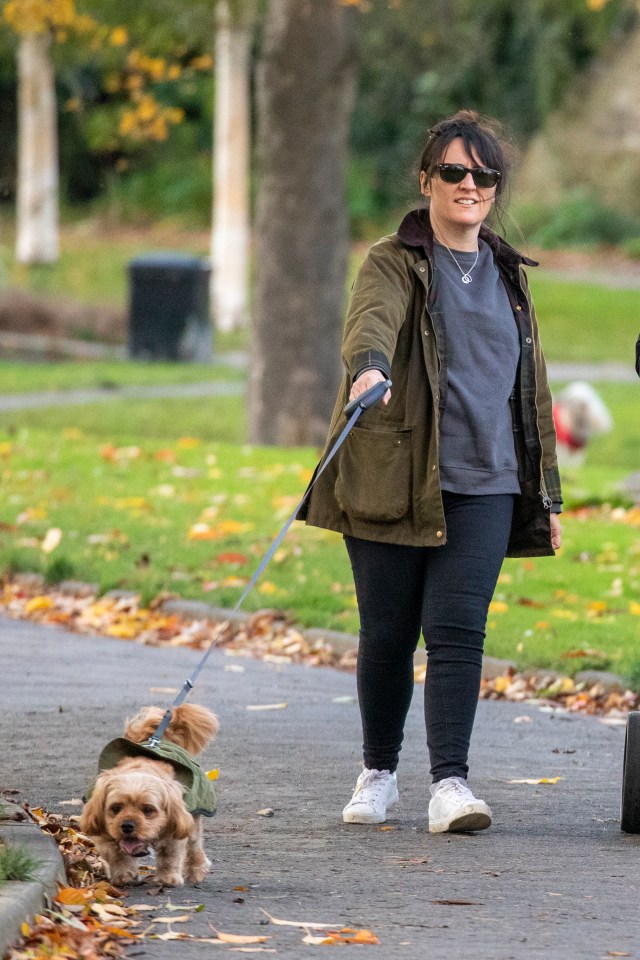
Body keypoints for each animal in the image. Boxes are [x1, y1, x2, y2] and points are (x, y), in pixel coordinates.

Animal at [81, 700, 220, 888]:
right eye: (115, 808)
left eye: (148, 810)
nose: (127, 826)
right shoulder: (104, 833)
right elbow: (117, 856)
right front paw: (123, 875)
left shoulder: (174, 830)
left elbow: (170, 856)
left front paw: (169, 878)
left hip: (193, 820)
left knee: (194, 846)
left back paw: (196, 870)